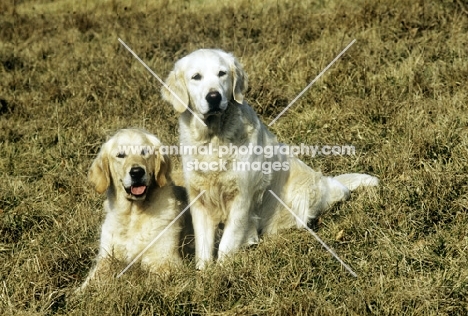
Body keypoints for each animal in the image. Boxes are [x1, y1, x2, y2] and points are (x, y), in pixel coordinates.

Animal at [79, 127, 189, 290]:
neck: (133, 215)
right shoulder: (106, 258)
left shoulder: (165, 261)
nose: (137, 172)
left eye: (145, 152)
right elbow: (90, 282)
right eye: (120, 155)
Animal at [163, 49, 378, 270]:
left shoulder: (242, 197)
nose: (214, 97)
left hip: (304, 192)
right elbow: (203, 246)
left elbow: (228, 241)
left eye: (222, 73)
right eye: (196, 77)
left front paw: (224, 269)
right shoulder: (199, 199)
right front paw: (204, 272)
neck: (214, 138)